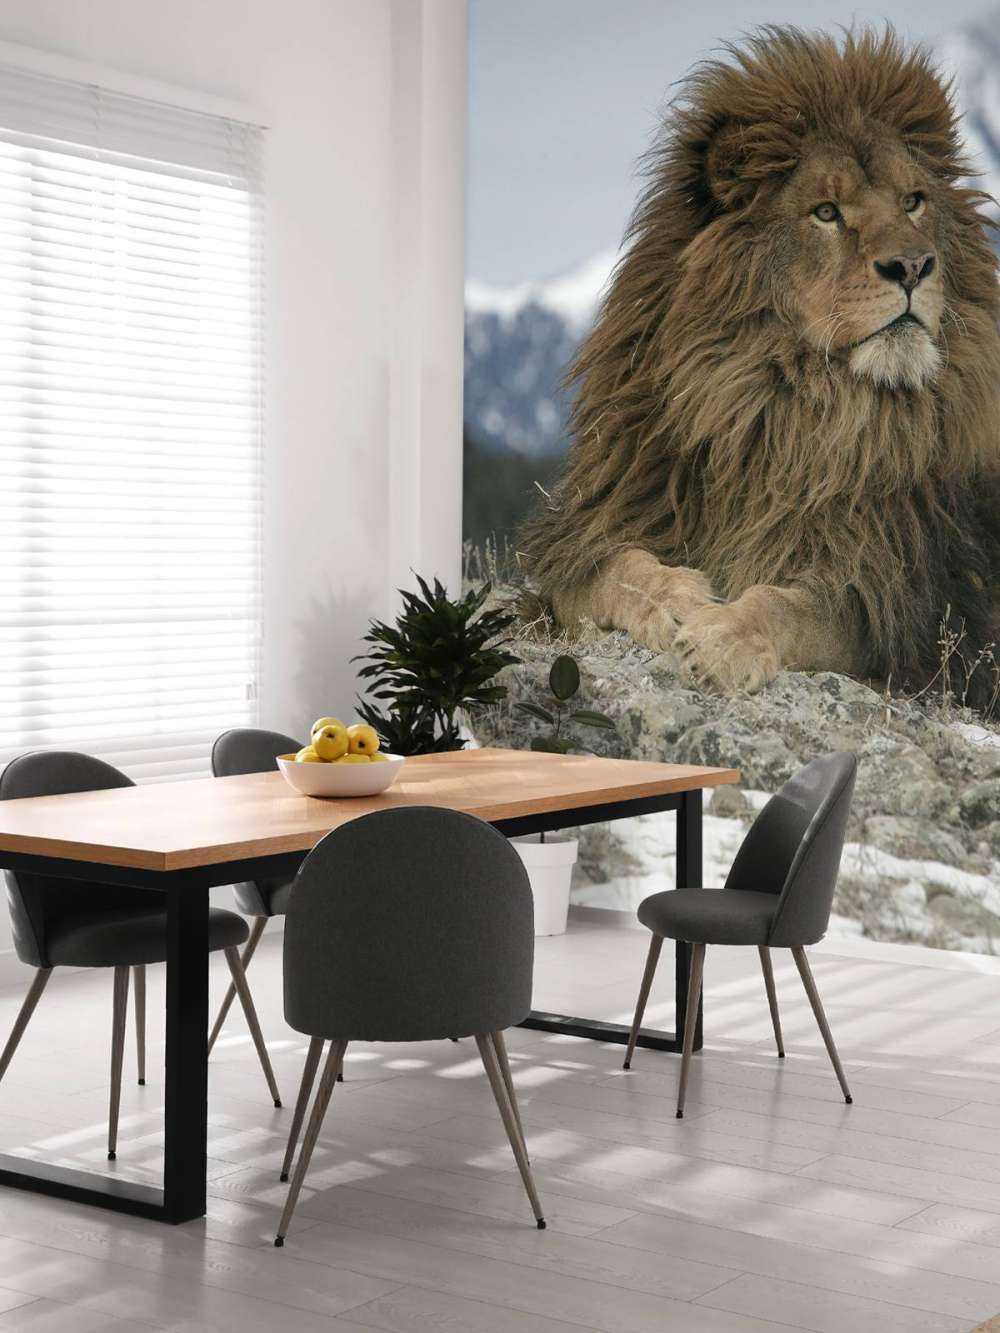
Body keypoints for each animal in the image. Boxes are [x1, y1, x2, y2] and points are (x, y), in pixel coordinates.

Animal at [519, 27, 1000, 712]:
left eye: (913, 202)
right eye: (826, 212)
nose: (913, 266)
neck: (774, 411)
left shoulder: (896, 607)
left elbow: (791, 607)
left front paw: (722, 637)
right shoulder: (590, 535)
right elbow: (611, 572)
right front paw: (674, 601)